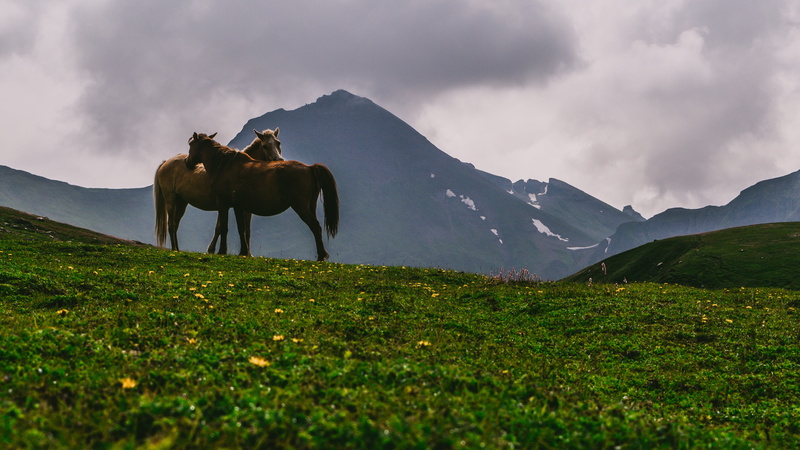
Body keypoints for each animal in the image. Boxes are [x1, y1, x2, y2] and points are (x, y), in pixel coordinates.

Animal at [154, 129, 284, 255]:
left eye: (278, 143)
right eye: (265, 146)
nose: (279, 160)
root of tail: (165, 162)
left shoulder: (244, 208)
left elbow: (245, 230)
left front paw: (247, 253)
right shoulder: (224, 204)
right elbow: (221, 228)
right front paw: (213, 250)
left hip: (181, 202)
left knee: (175, 225)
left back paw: (177, 248)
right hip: (170, 200)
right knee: (171, 225)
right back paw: (174, 249)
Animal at [185, 131, 339, 261]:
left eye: (191, 144)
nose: (187, 162)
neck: (225, 165)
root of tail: (310, 168)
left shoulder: (223, 204)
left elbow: (224, 228)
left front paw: (222, 251)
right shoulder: (238, 206)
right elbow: (242, 229)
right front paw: (243, 252)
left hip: (301, 207)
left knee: (315, 227)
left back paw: (321, 256)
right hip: (310, 207)